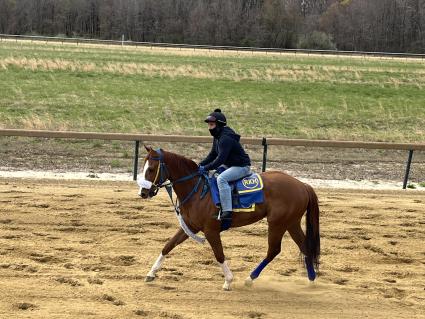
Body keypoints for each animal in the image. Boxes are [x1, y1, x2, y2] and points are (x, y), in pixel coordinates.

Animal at [137, 148, 320, 292]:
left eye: (151, 169)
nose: (143, 193)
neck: (198, 191)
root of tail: (303, 185)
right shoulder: (190, 226)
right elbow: (168, 246)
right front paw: (151, 273)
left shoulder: (211, 231)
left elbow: (219, 254)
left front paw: (228, 281)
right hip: (291, 223)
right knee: (304, 246)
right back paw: (311, 280)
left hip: (277, 224)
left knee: (273, 250)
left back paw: (250, 278)